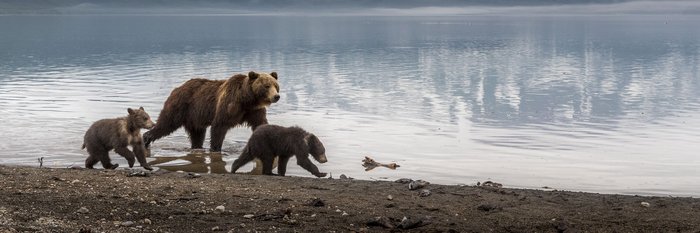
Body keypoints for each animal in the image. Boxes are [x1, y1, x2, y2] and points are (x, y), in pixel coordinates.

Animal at [143, 71, 278, 152]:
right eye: (266, 86)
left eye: (276, 85)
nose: (276, 96)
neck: (247, 99)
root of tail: (177, 88)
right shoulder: (228, 105)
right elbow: (219, 126)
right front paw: (216, 148)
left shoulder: (254, 111)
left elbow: (260, 124)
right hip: (180, 106)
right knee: (166, 123)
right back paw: (146, 139)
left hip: (194, 117)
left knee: (197, 134)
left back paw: (197, 147)